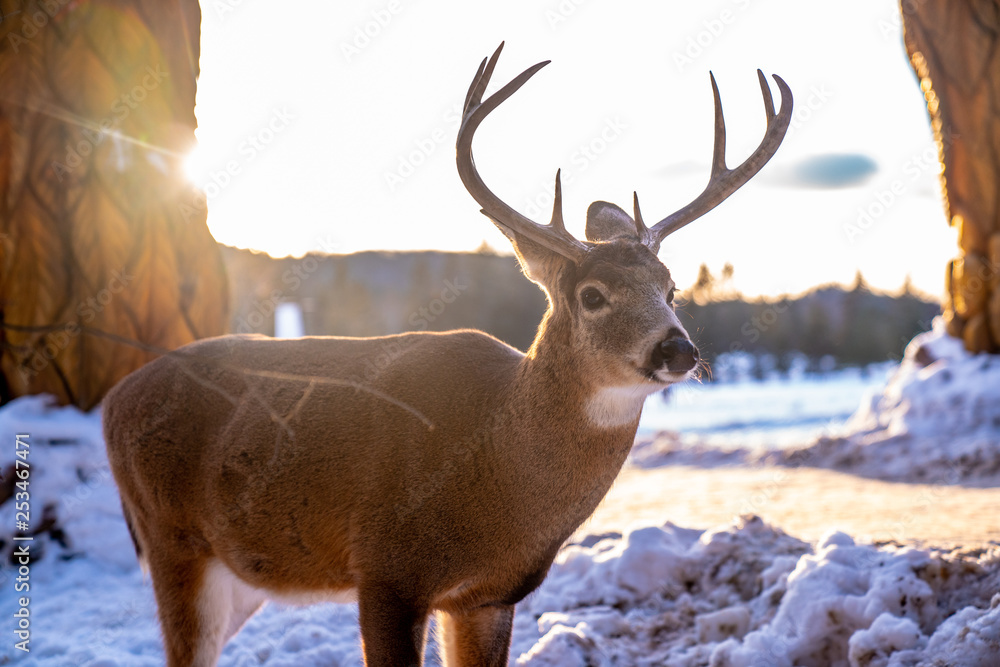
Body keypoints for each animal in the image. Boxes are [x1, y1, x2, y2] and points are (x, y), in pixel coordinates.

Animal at [103, 43, 791, 667]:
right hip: (172, 540)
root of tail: (113, 399)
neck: (490, 472)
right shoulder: (386, 570)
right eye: (593, 295)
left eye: (671, 288)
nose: (680, 348)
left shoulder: (489, 595)